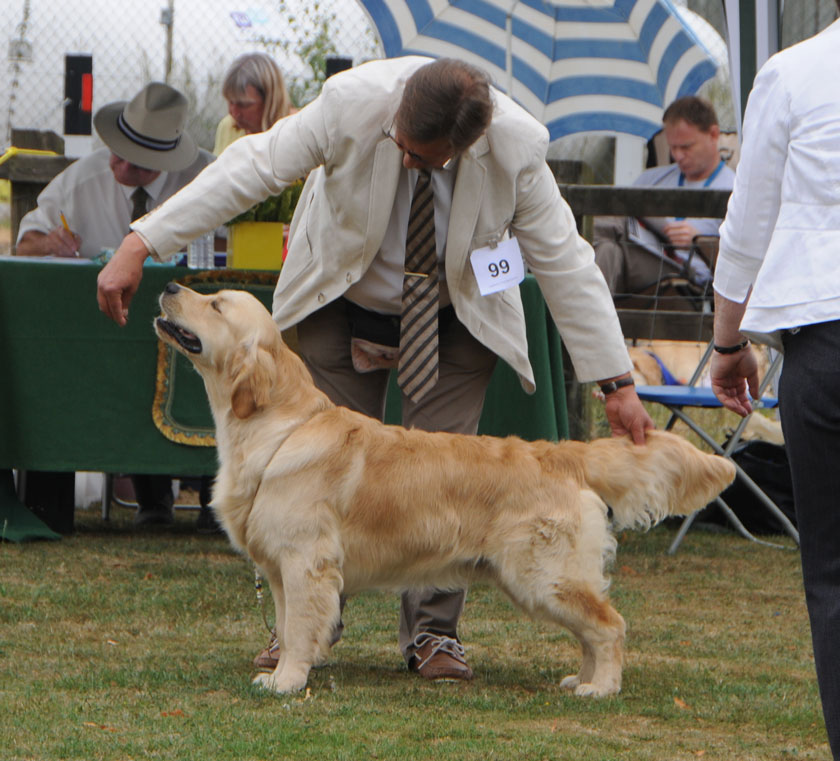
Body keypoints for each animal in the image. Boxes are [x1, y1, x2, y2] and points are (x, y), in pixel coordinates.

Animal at [154, 284, 732, 696]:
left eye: (216, 304)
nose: (170, 285)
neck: (277, 428)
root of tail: (559, 451)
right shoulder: (279, 570)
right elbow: (288, 623)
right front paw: (285, 669)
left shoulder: (305, 562)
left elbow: (298, 627)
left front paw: (288, 681)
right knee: (593, 629)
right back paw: (582, 678)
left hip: (544, 577)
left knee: (610, 625)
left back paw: (602, 688)